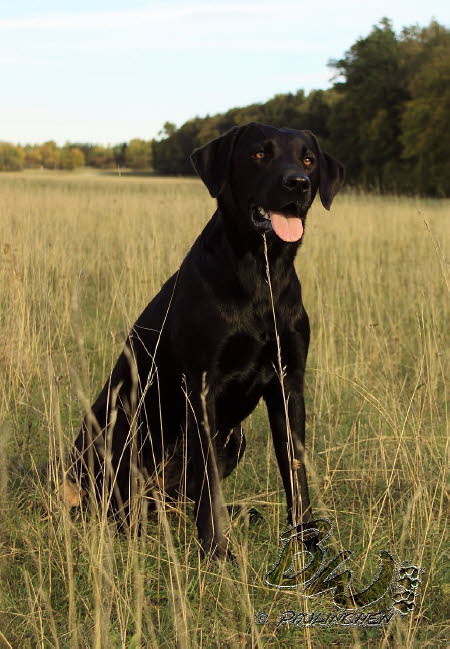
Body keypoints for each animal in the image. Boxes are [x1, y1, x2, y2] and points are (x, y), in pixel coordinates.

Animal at [69, 124, 344, 560]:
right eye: (259, 154)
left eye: (308, 160)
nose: (297, 184)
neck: (262, 271)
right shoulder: (201, 385)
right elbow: (210, 482)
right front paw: (217, 550)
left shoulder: (289, 384)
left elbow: (295, 468)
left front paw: (308, 540)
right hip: (120, 428)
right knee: (121, 503)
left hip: (234, 438)